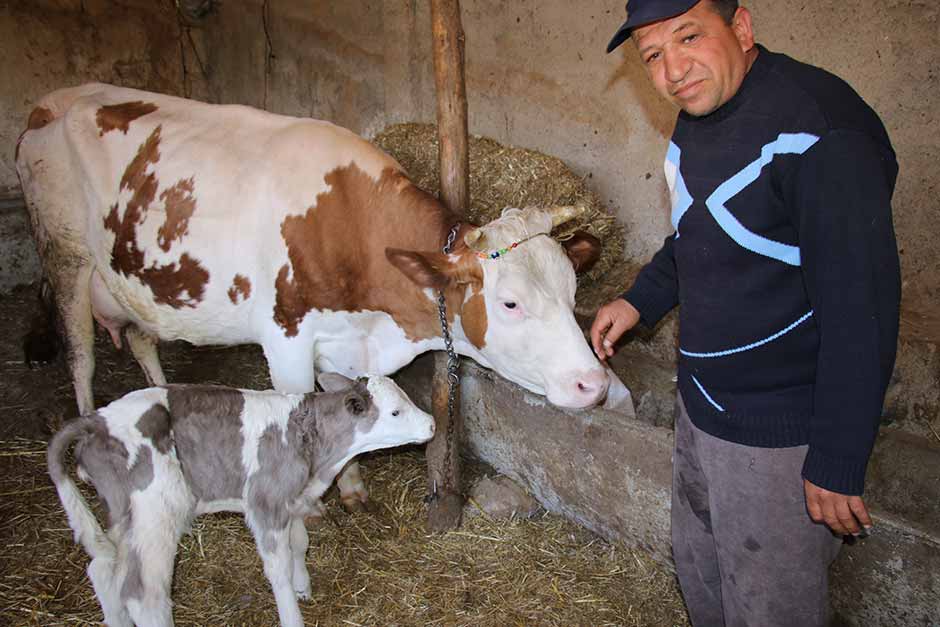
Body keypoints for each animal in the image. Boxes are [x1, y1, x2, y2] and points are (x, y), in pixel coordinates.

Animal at [12, 82, 624, 506]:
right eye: (510, 303)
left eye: (573, 291)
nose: (593, 384)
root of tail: (51, 101)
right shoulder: (285, 342)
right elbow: (304, 412)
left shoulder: (345, 344)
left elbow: (346, 405)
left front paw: (350, 486)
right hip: (64, 255)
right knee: (81, 355)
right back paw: (86, 454)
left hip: (130, 279)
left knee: (141, 340)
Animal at [48, 372, 434, 627]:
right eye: (396, 412)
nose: (432, 424)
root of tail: (95, 421)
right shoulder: (264, 503)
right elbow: (277, 568)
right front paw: (292, 613)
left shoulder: (289, 499)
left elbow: (299, 543)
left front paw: (303, 587)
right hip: (157, 513)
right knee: (143, 593)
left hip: (123, 515)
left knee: (104, 570)